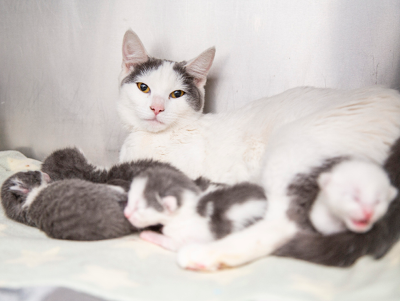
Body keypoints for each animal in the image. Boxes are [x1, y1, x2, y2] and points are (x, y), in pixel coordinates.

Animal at [123, 165, 268, 252]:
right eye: (129, 199)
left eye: (139, 208)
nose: (126, 213)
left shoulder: (182, 239)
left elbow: (169, 242)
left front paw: (148, 235)